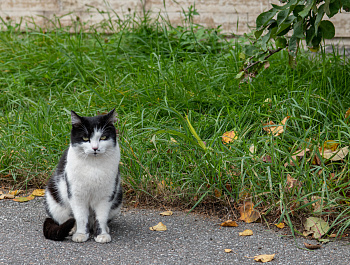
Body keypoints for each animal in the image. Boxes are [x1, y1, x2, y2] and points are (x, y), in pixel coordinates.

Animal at [43, 108, 122, 242]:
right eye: (85, 138)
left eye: (103, 137)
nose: (95, 148)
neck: (93, 166)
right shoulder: (76, 195)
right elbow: (80, 217)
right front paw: (80, 234)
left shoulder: (106, 196)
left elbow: (101, 217)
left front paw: (102, 235)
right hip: (54, 200)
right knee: (67, 218)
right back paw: (72, 229)